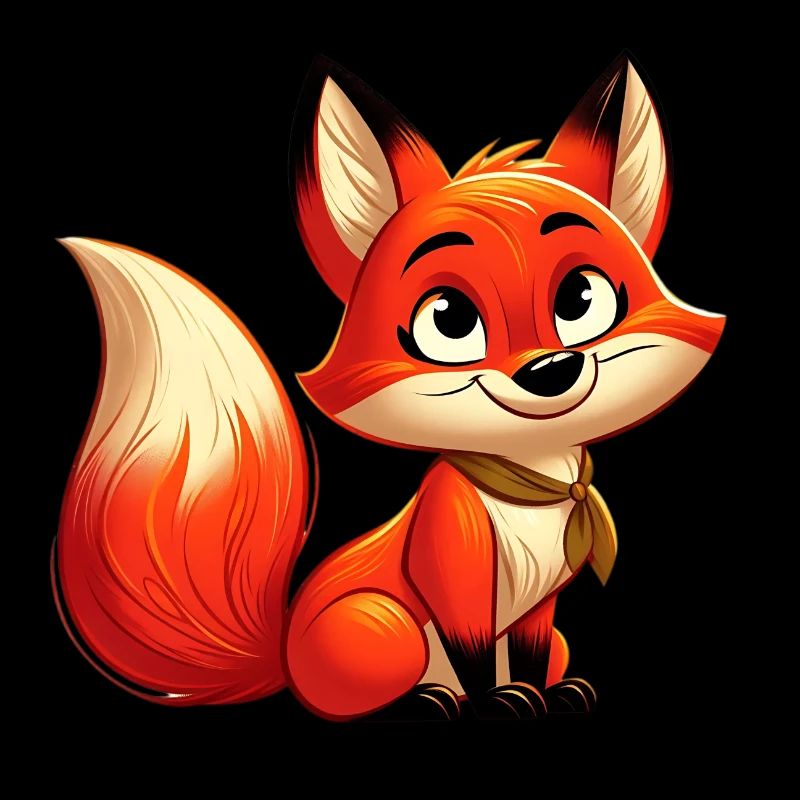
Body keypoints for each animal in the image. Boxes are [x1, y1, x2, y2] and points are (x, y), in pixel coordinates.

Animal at [54, 54, 724, 720]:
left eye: (581, 298)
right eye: (450, 319)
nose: (550, 370)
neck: (530, 494)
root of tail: (284, 659)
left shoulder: (541, 608)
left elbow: (531, 656)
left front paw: (547, 698)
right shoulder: (451, 577)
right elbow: (474, 658)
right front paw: (495, 703)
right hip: (391, 623)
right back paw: (430, 700)